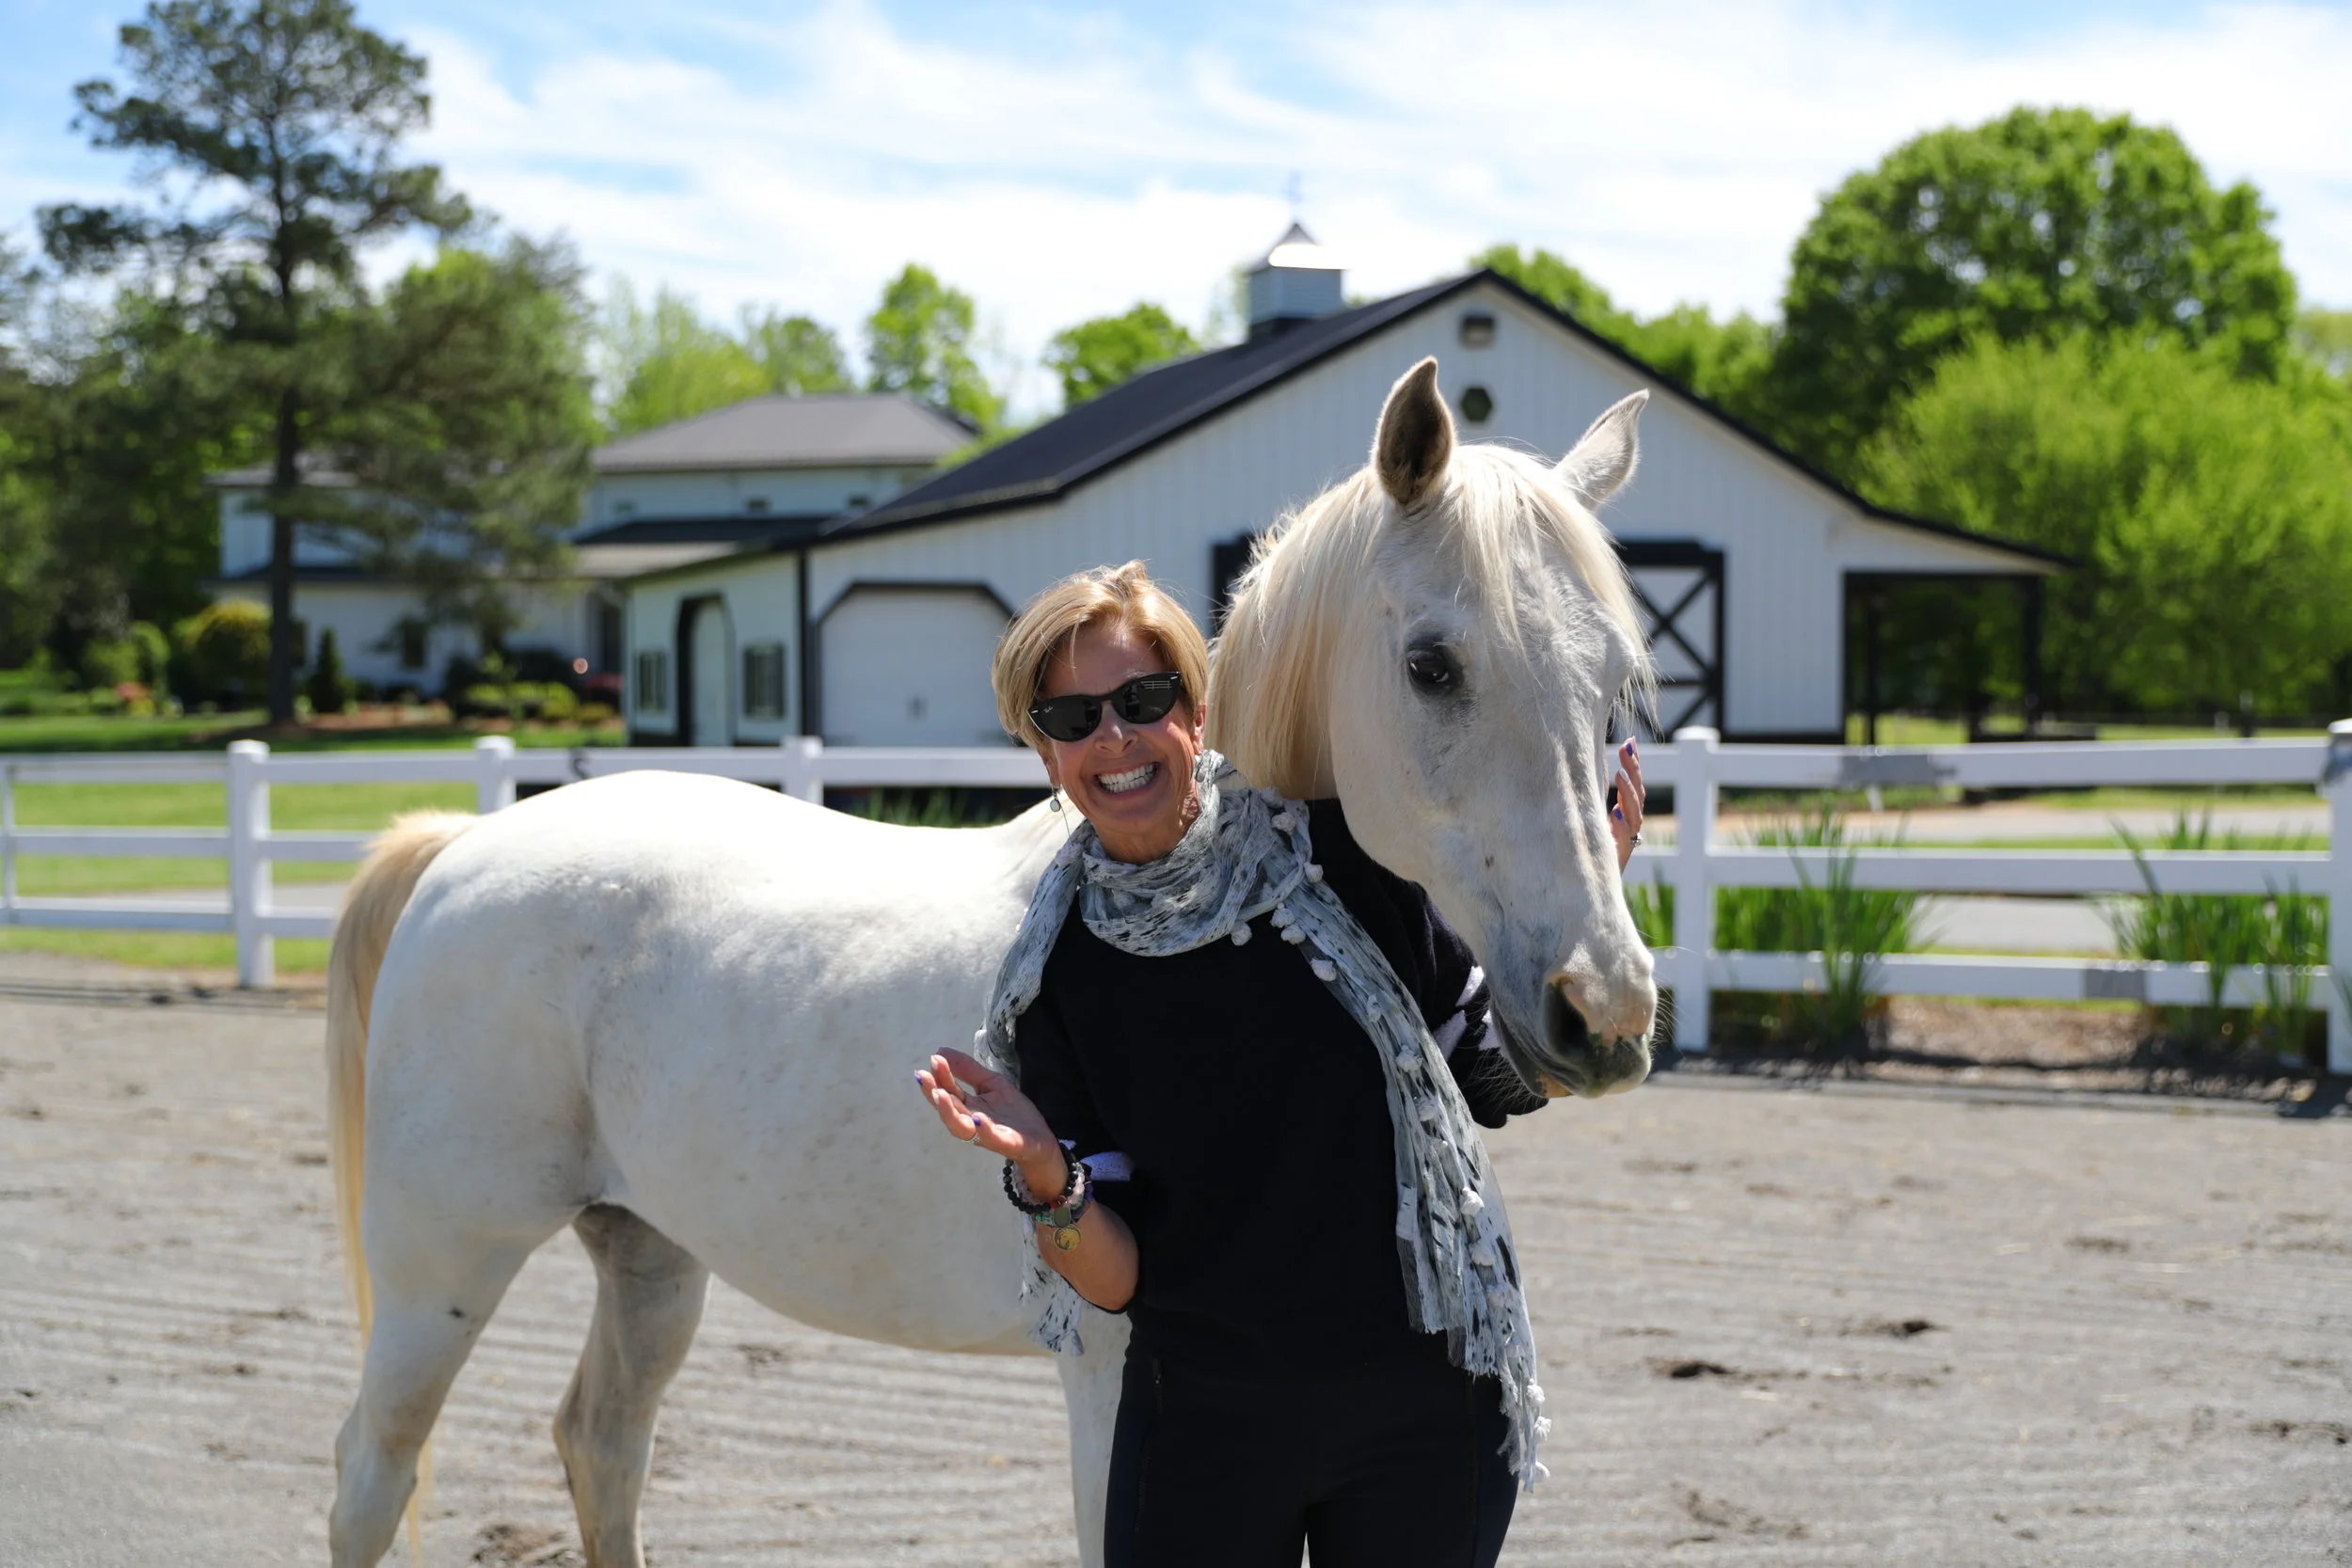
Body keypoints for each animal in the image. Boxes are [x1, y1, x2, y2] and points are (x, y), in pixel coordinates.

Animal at [323, 357, 1659, 1567]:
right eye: (1433, 664)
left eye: (1615, 684)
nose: (1604, 1009)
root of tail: (464, 848)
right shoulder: (1110, 1390)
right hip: (442, 1269)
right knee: (371, 1476)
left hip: (648, 1250)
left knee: (600, 1443)